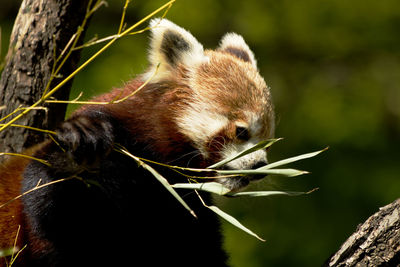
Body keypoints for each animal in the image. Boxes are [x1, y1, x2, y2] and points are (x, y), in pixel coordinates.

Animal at [0, 19, 276, 267]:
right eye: (241, 132)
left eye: (267, 141)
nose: (259, 166)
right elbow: (45, 201)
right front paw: (79, 145)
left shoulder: (183, 206)